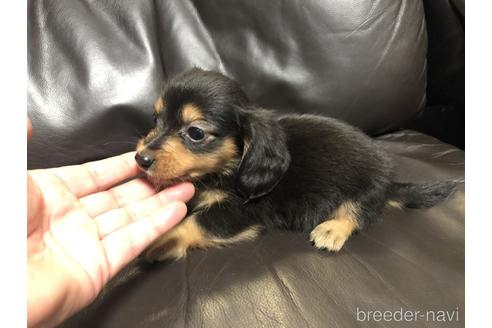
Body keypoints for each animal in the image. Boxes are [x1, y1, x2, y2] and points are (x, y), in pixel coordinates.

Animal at [135, 68, 458, 262]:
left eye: (196, 133)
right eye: (156, 118)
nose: (141, 159)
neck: (228, 168)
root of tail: (390, 181)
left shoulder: (240, 212)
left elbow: (195, 221)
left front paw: (160, 238)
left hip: (366, 183)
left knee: (359, 211)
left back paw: (333, 229)